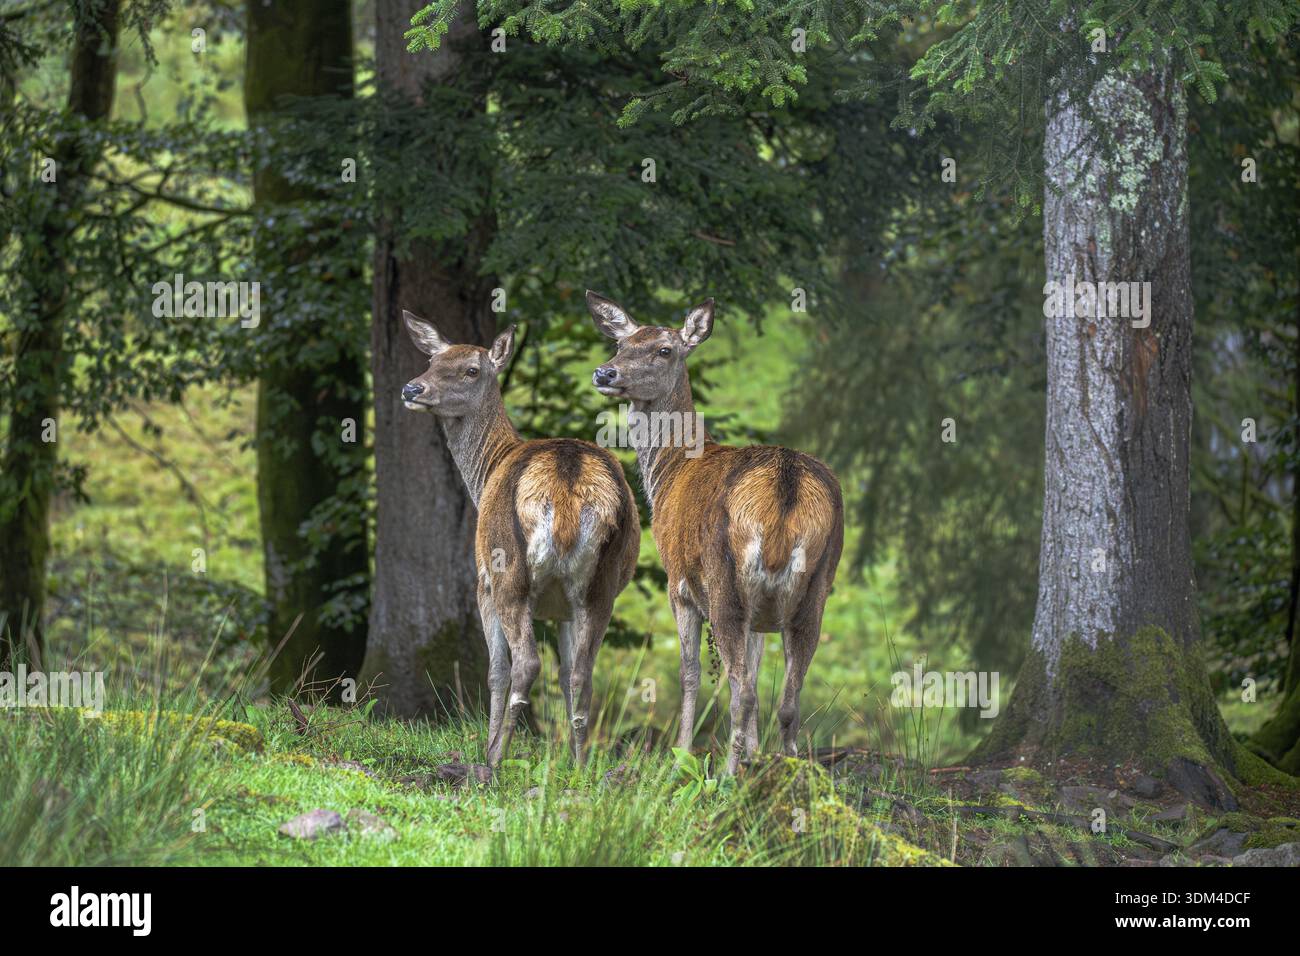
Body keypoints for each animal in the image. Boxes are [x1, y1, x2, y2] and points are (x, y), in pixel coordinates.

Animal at [400, 311, 640, 768]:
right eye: (433, 360)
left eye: (471, 370)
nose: (412, 388)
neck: (486, 473)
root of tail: (568, 485)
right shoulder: (563, 607)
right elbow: (565, 674)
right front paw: (571, 759)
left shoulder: (482, 581)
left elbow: (496, 671)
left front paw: (488, 742)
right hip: (601, 584)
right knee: (583, 673)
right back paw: (580, 766)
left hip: (509, 568)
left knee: (526, 663)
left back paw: (494, 759)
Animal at [586, 292, 844, 774]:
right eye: (621, 344)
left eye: (664, 350)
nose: (605, 372)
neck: (668, 474)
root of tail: (786, 481)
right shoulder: (761, 610)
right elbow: (758, 673)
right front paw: (755, 753)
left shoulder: (678, 581)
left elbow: (688, 674)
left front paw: (680, 756)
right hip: (817, 582)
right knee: (787, 696)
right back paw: (791, 772)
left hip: (724, 577)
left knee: (739, 688)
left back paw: (727, 775)